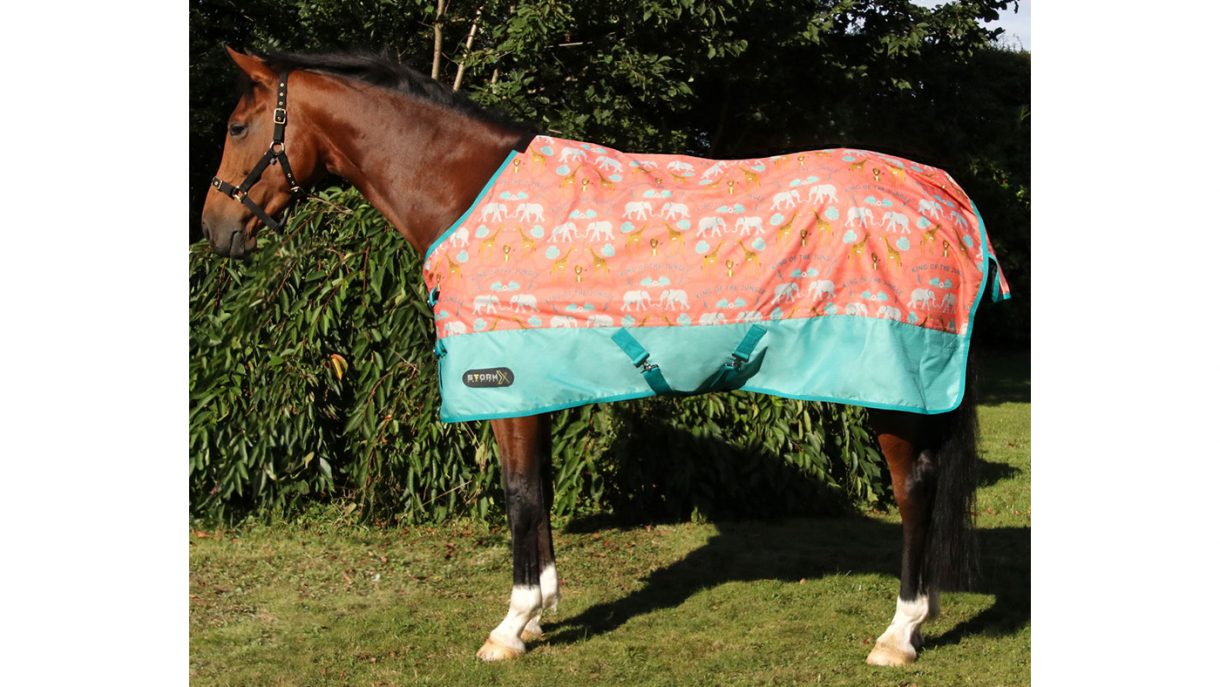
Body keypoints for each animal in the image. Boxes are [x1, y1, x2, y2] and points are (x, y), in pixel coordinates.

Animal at [200, 46, 1000, 667]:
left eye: (238, 126)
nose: (215, 228)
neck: (467, 192)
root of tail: (946, 195)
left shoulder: (504, 384)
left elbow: (521, 494)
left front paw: (510, 627)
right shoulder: (536, 384)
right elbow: (542, 492)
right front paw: (541, 614)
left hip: (893, 391)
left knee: (915, 492)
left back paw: (898, 634)